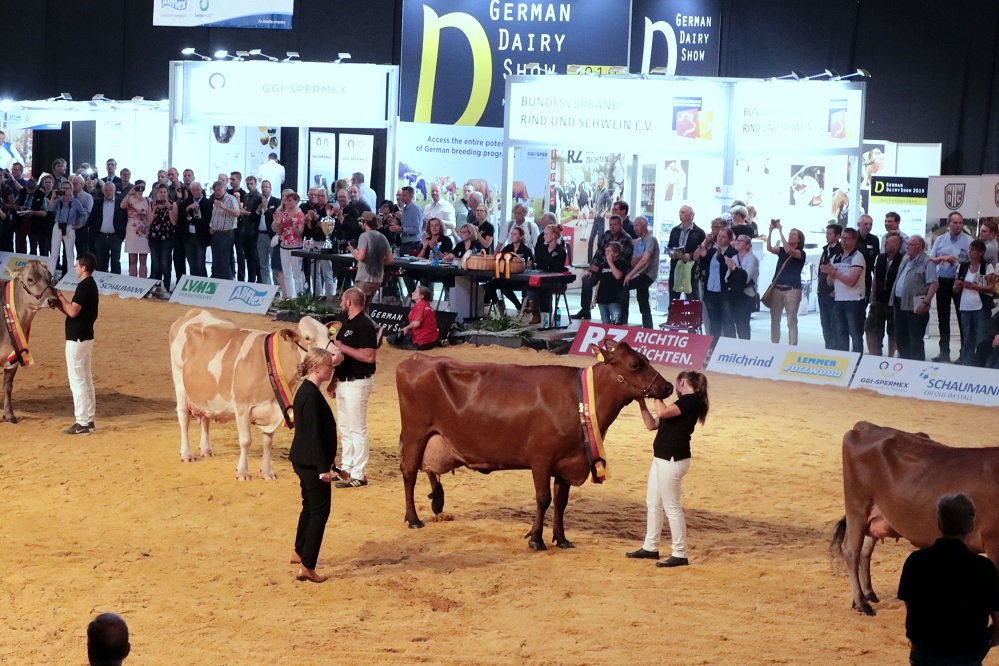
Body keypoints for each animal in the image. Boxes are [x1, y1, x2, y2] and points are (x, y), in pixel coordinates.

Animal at [1, 260, 58, 420]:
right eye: (30, 279)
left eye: (50, 277)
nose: (53, 300)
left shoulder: (15, 355)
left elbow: (8, 386)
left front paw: (9, 415)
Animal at [170, 308, 342, 480]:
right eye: (307, 337)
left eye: (329, 334)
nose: (337, 354)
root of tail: (195, 311)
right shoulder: (242, 406)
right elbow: (246, 440)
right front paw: (242, 472)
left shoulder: (275, 408)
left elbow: (268, 442)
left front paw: (267, 472)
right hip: (179, 382)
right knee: (184, 417)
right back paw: (186, 454)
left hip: (205, 394)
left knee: (206, 418)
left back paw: (206, 450)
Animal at [396, 340, 672, 548]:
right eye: (635, 364)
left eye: (647, 358)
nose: (668, 386)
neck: (579, 400)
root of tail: (414, 359)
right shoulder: (541, 459)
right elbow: (543, 498)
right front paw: (536, 539)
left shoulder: (568, 461)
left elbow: (561, 502)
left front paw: (561, 538)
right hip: (415, 432)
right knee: (409, 471)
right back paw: (413, 518)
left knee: (428, 468)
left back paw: (437, 501)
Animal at [832, 422, 999, 616]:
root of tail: (865, 426)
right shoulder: (994, 542)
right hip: (857, 507)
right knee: (852, 550)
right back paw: (861, 602)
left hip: (874, 516)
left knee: (866, 550)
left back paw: (868, 594)